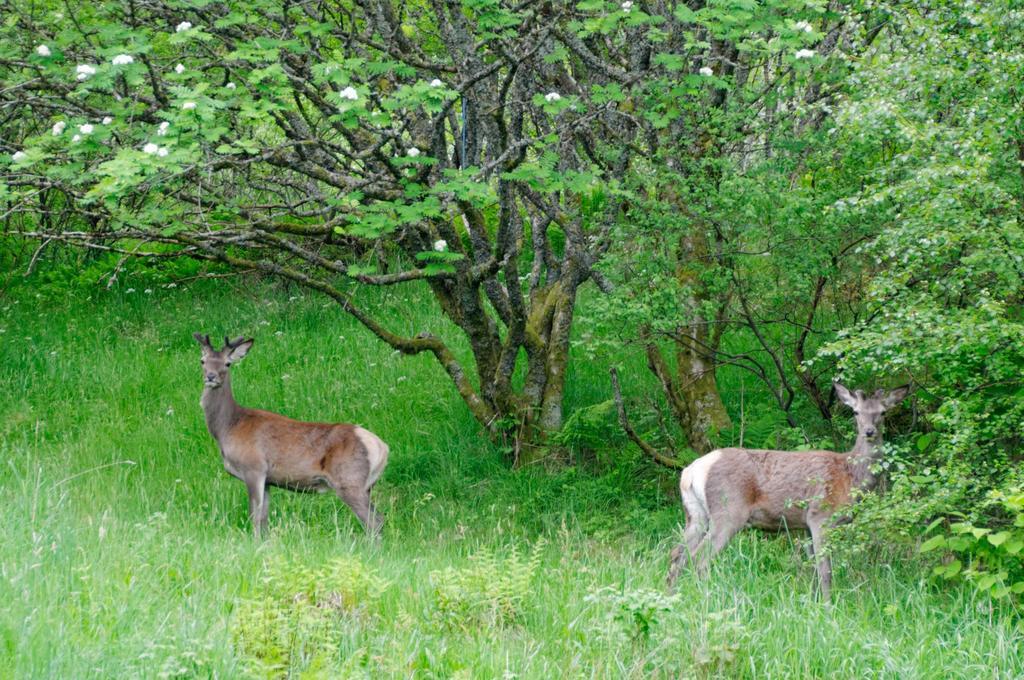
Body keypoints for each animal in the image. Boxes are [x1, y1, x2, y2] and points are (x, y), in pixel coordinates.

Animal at [192, 333, 387, 536]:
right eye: (202, 361)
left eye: (228, 363)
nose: (211, 376)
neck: (228, 428)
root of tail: (382, 448)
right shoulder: (268, 480)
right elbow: (263, 519)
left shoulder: (254, 467)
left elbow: (254, 518)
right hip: (366, 485)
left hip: (350, 479)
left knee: (375, 521)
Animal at [667, 383, 909, 602]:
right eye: (856, 411)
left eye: (883, 412)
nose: (869, 431)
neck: (850, 476)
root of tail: (691, 471)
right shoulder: (820, 516)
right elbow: (825, 570)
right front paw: (829, 606)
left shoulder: (805, 526)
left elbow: (813, 569)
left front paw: (813, 602)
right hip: (728, 511)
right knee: (700, 560)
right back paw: (706, 599)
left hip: (695, 514)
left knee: (677, 555)